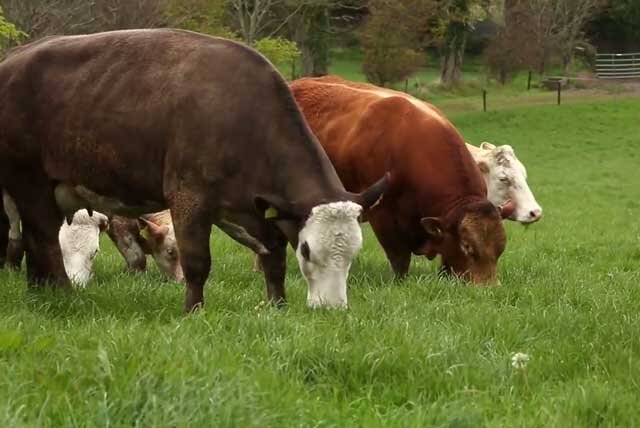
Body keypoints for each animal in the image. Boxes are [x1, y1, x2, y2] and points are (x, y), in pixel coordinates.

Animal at [0, 30, 388, 310]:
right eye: (306, 251)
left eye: (354, 252)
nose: (332, 308)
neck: (243, 115)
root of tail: (13, 59)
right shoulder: (189, 198)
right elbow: (198, 261)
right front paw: (193, 310)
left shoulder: (251, 209)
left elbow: (273, 256)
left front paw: (277, 306)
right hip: (30, 182)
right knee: (44, 238)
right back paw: (63, 292)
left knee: (34, 239)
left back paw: (41, 290)